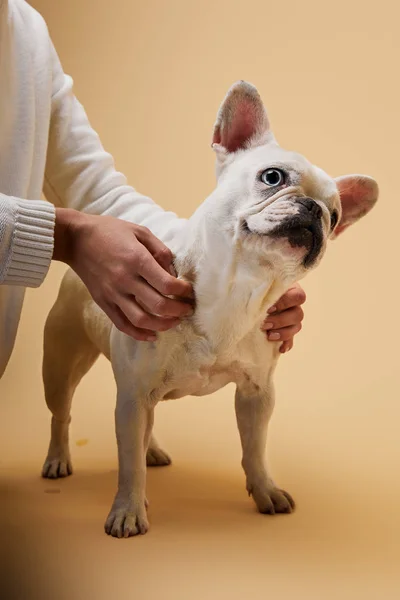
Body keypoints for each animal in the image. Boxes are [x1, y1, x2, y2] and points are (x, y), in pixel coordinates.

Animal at [40, 81, 378, 540]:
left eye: (337, 214)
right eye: (273, 177)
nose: (316, 209)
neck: (237, 289)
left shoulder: (257, 393)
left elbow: (255, 449)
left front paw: (265, 490)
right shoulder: (132, 393)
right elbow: (127, 466)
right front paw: (128, 510)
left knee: (143, 428)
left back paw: (153, 450)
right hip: (62, 365)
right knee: (63, 415)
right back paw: (59, 459)